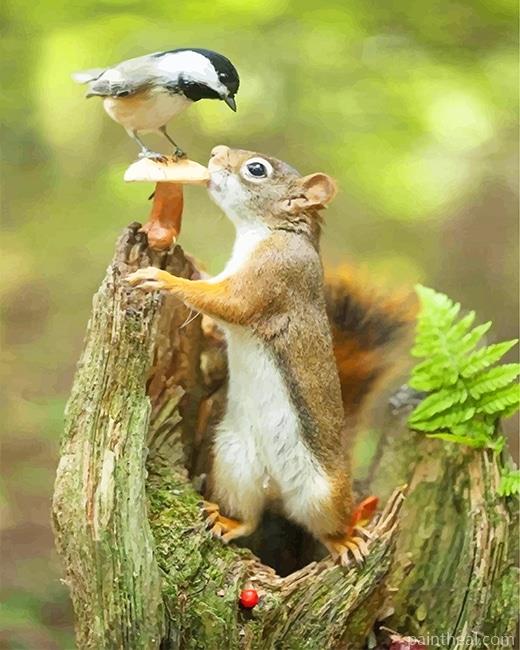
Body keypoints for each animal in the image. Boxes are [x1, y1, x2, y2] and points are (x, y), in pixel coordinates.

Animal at [128, 144, 415, 565]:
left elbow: (230, 305)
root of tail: (277, 489)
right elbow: (215, 313)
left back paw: (345, 540)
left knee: (326, 528)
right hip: (234, 465)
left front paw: (163, 279)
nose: (215, 152)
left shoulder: (273, 277)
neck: (266, 231)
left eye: (256, 170)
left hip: (324, 493)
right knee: (250, 518)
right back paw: (227, 521)